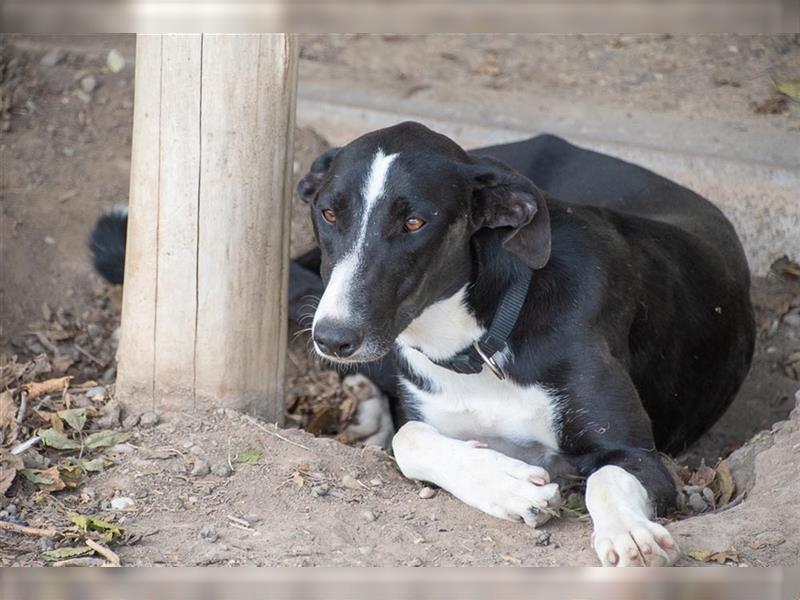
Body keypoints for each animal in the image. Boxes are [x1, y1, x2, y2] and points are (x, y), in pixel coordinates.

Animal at [94, 123, 756, 568]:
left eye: (414, 223)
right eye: (329, 213)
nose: (332, 338)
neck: (478, 342)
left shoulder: (639, 454)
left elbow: (607, 476)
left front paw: (628, 533)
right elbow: (413, 439)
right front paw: (504, 485)